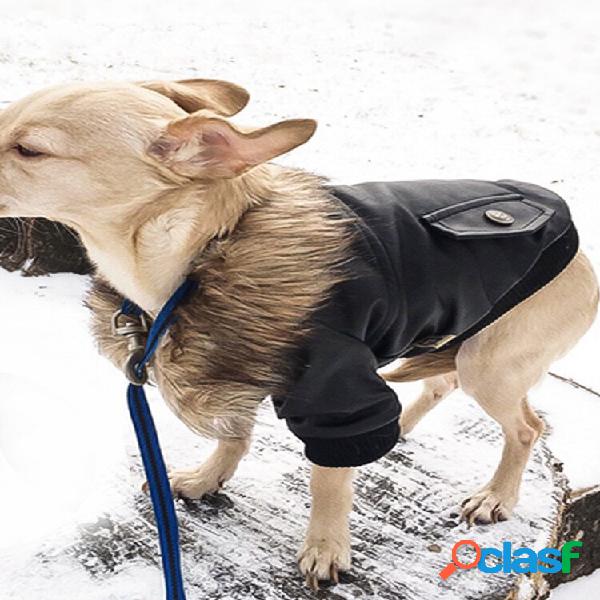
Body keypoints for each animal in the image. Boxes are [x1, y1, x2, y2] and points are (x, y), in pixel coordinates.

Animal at [0, 77, 596, 588]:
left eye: (29, 150)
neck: (205, 248)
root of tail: (581, 256)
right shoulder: (233, 367)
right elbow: (234, 435)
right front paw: (208, 479)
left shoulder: (334, 394)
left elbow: (327, 479)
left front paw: (326, 548)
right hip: (451, 336)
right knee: (440, 384)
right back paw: (402, 428)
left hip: (489, 365)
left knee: (526, 427)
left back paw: (496, 495)